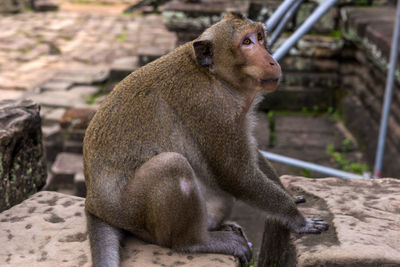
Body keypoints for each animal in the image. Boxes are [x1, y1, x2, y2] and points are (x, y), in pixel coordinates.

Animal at [83, 13, 326, 267]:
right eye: (246, 42)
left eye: (260, 37)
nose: (271, 61)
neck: (215, 77)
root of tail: (95, 203)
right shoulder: (210, 108)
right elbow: (236, 175)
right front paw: (297, 219)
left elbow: (252, 155)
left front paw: (288, 194)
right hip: (132, 212)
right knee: (172, 165)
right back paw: (197, 242)